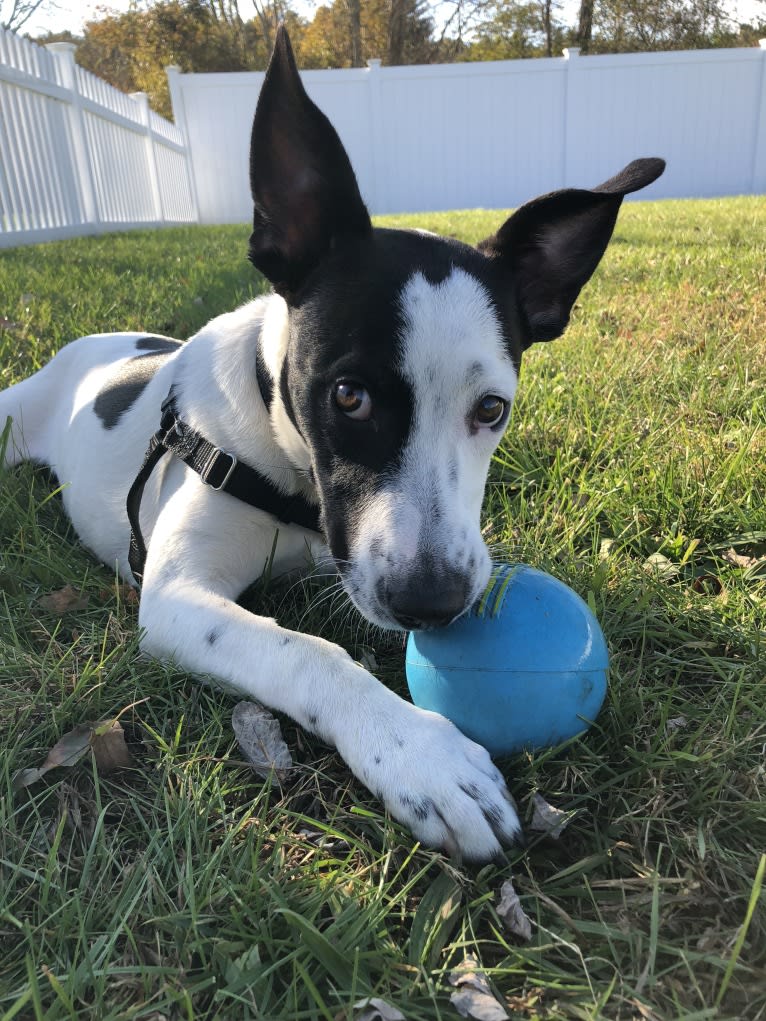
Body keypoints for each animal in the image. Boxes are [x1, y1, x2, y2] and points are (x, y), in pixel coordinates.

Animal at [0, 29, 661, 861]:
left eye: (491, 408)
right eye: (349, 396)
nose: (433, 602)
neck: (287, 468)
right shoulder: (176, 598)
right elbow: (306, 650)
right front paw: (421, 754)